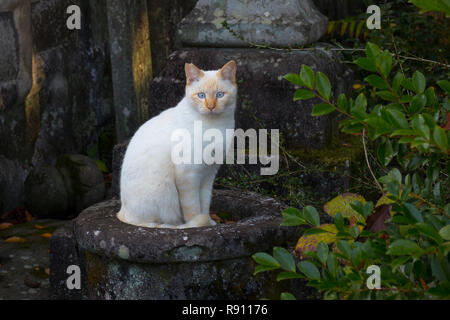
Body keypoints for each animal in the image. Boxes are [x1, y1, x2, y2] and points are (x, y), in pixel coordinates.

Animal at [116, 61, 237, 229]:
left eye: (220, 95)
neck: (214, 126)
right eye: (201, 95)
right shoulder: (188, 175)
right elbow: (193, 208)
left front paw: (208, 221)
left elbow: (204, 204)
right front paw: (197, 224)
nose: (211, 107)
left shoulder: (208, 174)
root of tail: (123, 212)